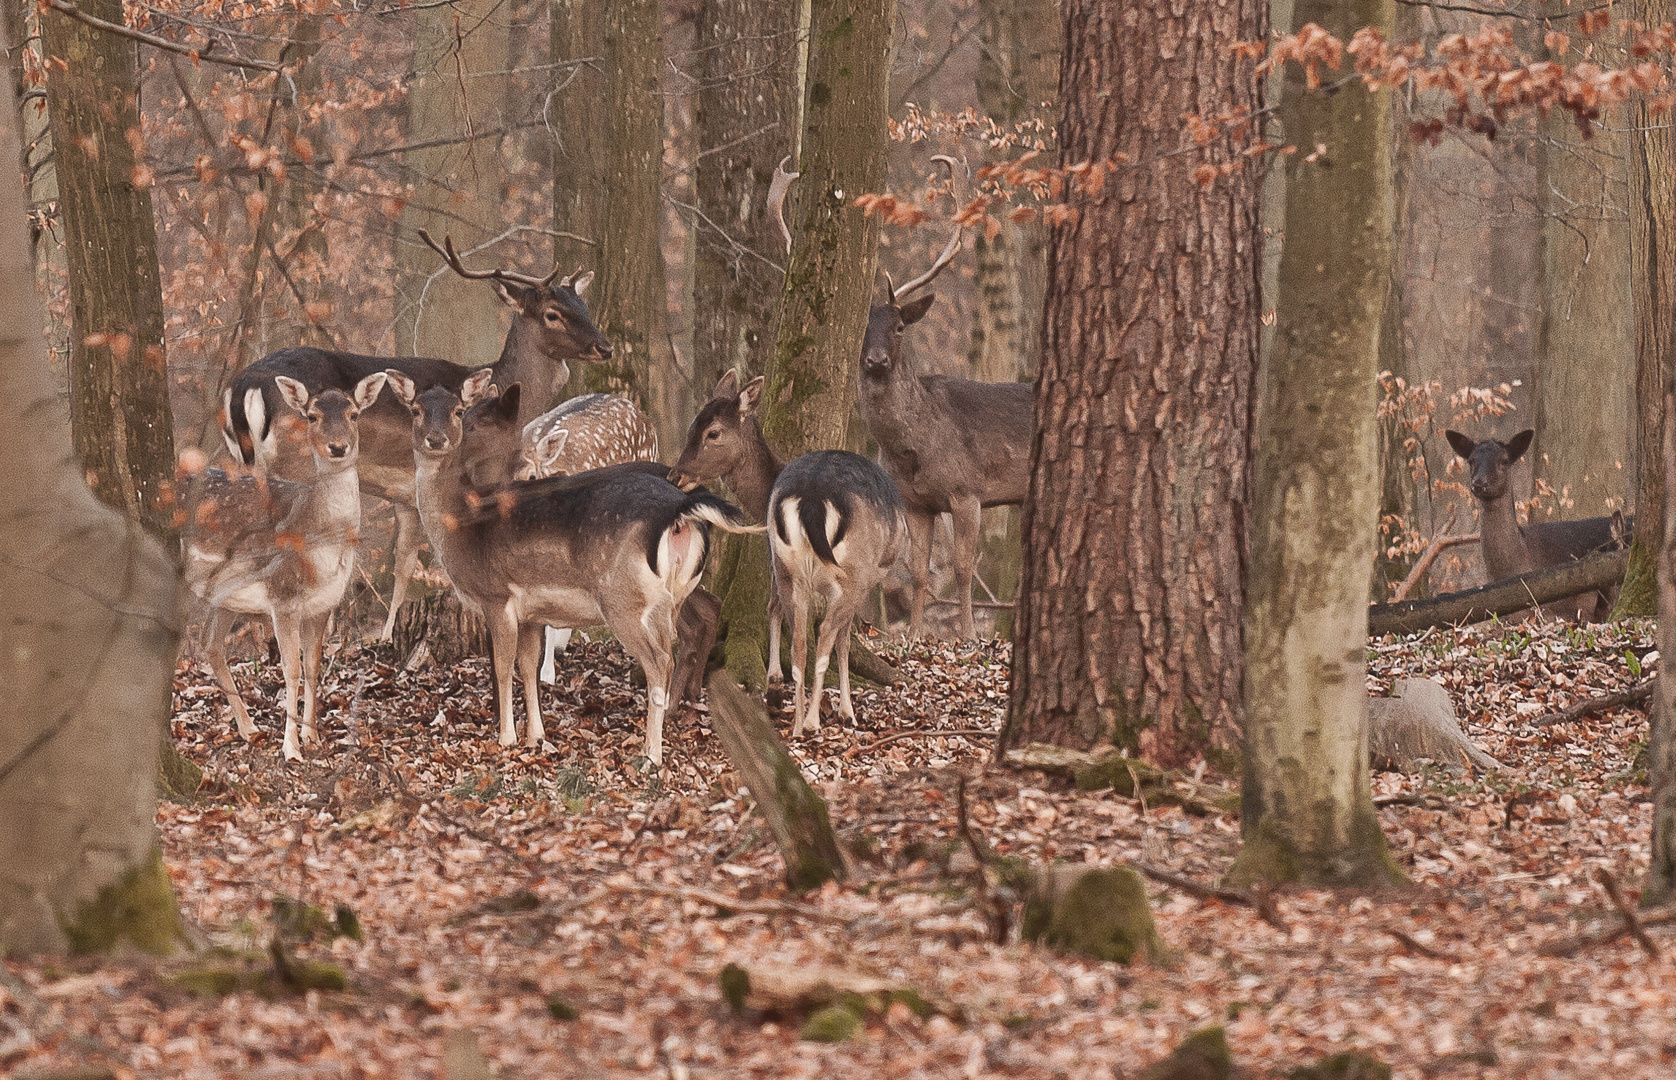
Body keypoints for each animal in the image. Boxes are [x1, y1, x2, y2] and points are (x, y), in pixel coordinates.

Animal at [188, 375, 387, 764]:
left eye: (354, 414)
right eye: (311, 416)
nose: (337, 447)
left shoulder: (323, 604)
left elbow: (313, 666)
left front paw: (313, 736)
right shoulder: (282, 596)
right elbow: (290, 669)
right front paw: (291, 748)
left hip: (225, 594)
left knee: (209, 642)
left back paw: (249, 729)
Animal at [219, 228, 613, 637]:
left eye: (583, 307)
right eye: (553, 313)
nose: (606, 347)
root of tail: (244, 388)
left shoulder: (406, 497)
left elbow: (404, 566)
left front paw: (387, 634)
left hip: (245, 465)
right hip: (297, 469)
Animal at [383, 370, 757, 768]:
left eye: (458, 411)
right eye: (416, 409)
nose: (436, 439)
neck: (464, 526)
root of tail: (682, 512)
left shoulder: (497, 595)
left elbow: (502, 666)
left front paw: (506, 738)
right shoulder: (532, 611)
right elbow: (526, 666)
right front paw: (536, 735)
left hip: (622, 598)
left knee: (660, 661)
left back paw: (651, 754)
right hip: (672, 595)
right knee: (683, 636)